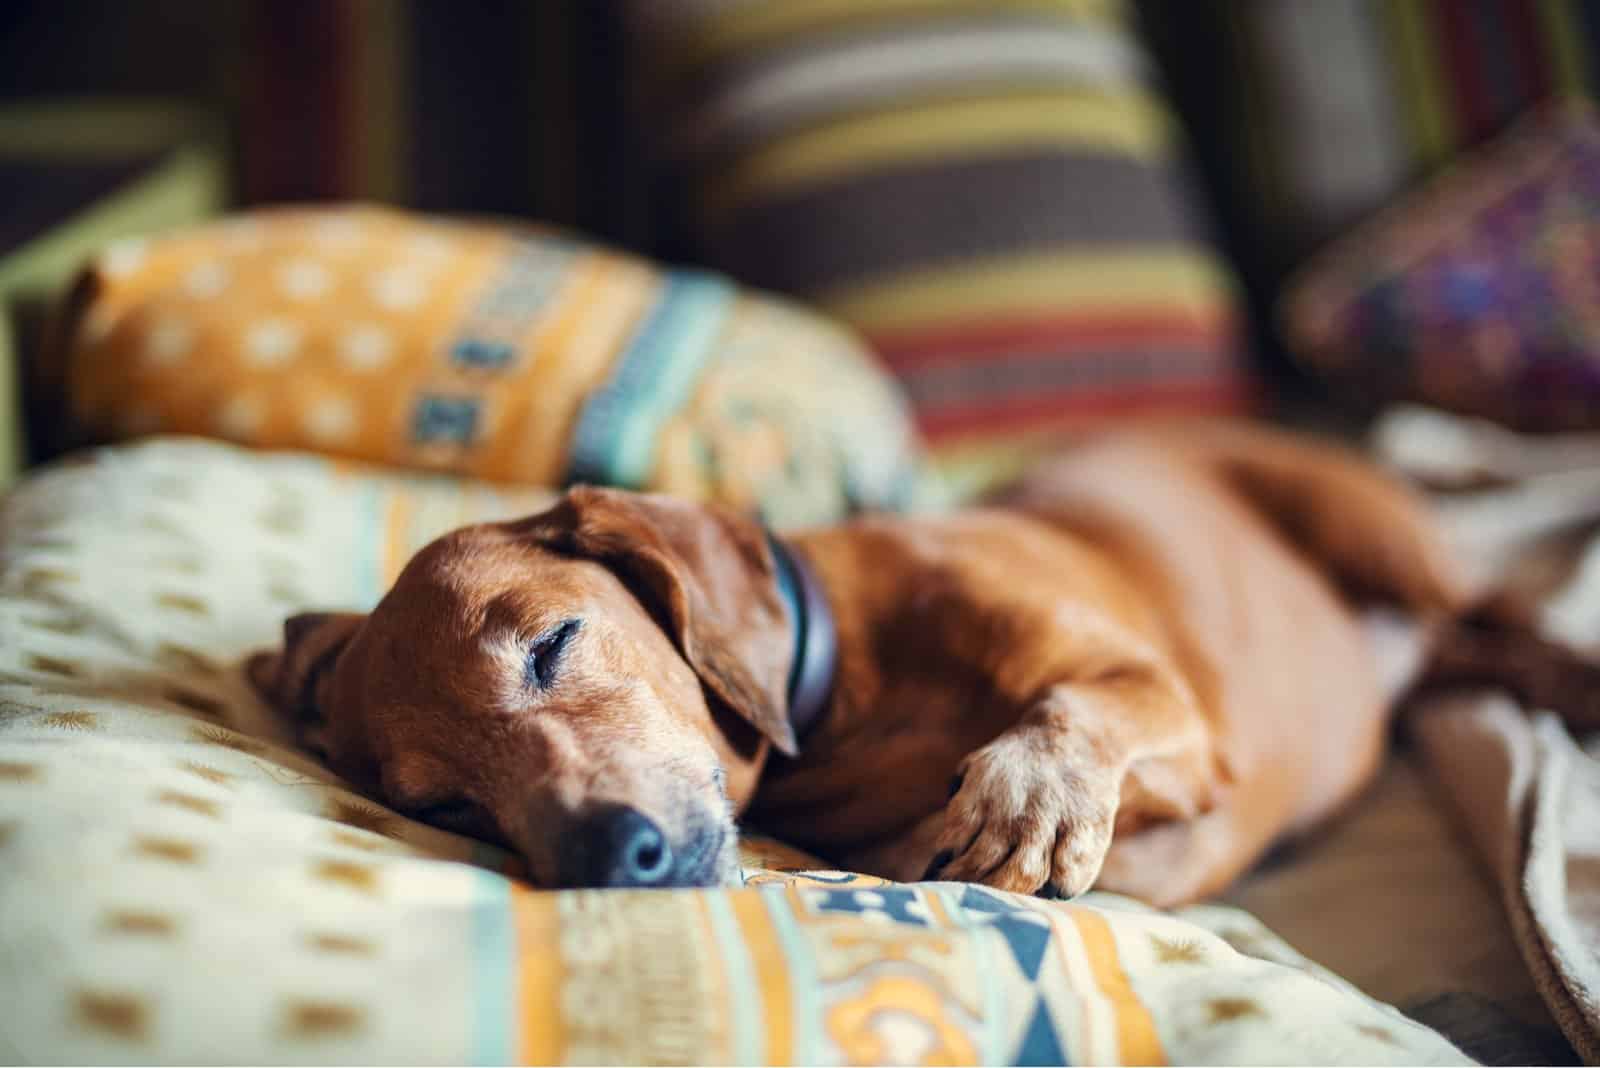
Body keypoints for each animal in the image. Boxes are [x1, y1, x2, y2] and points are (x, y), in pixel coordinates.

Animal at [252, 422, 1484, 908]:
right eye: (446, 805)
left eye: (552, 644)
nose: (608, 857)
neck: (852, 688)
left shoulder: (1171, 708)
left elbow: (1075, 710)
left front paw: (1032, 792)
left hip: (1384, 534)